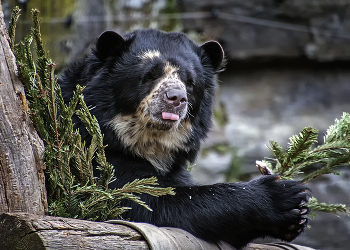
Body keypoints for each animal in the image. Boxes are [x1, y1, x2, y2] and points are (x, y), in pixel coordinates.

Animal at [59, 28, 308, 248]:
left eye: (190, 81)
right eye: (149, 75)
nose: (176, 98)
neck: (148, 143)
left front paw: (296, 217)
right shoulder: (99, 158)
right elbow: (152, 204)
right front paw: (283, 196)